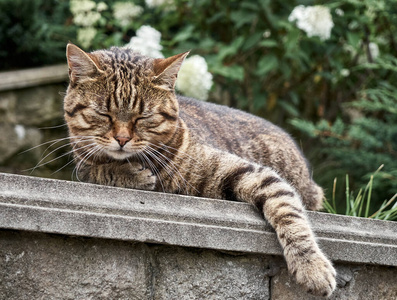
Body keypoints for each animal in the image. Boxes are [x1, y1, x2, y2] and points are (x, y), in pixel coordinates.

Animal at [64, 43, 334, 296]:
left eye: (143, 117)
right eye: (104, 114)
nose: (122, 139)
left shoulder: (249, 172)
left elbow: (287, 210)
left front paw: (312, 267)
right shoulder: (83, 167)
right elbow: (97, 170)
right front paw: (131, 174)